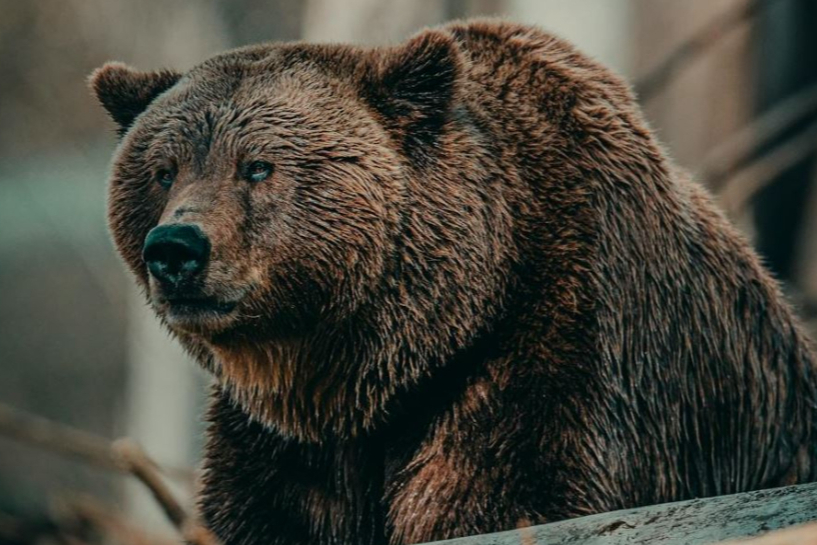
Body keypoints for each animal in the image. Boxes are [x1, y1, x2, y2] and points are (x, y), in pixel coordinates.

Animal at [91, 18, 816, 544]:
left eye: (258, 166)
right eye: (162, 169)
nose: (175, 248)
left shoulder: (564, 343)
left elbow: (511, 493)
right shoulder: (287, 442)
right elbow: (263, 511)